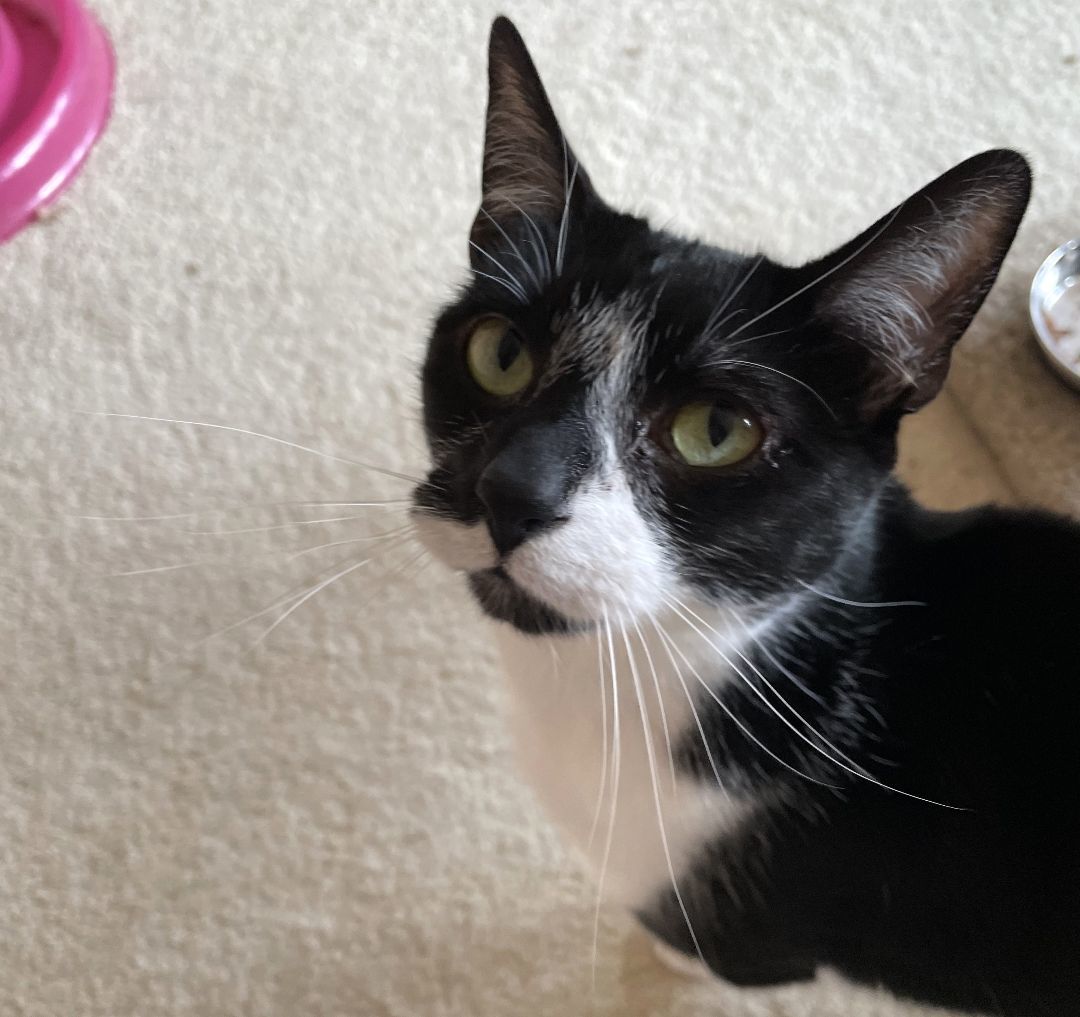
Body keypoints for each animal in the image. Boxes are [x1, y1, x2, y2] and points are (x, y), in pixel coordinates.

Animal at [410, 17, 1080, 1017]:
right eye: (498, 352)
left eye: (716, 430)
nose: (510, 491)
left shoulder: (759, 926)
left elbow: (708, 946)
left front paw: (672, 955)